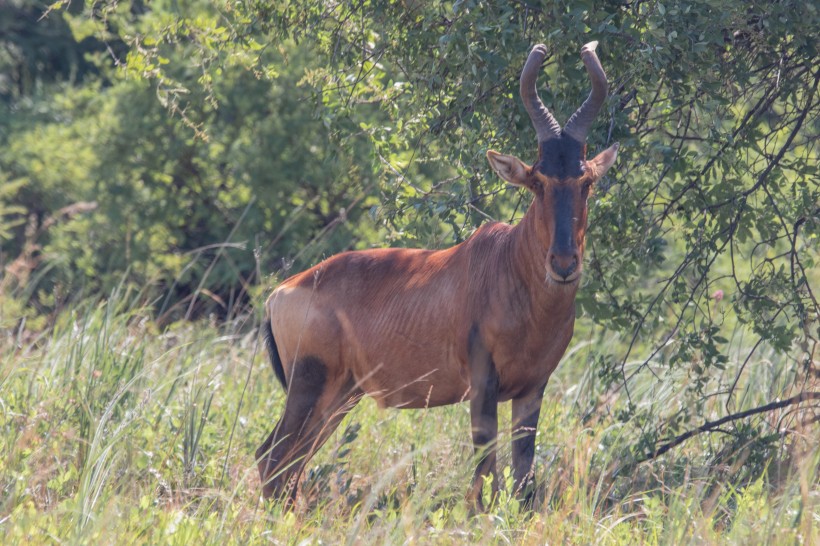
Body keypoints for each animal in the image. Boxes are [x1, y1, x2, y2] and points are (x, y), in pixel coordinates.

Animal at [256, 41, 616, 506]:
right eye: (537, 181)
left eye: (586, 180)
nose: (563, 264)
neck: (509, 265)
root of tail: (280, 293)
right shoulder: (482, 384)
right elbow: (485, 474)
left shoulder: (532, 389)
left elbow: (523, 478)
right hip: (309, 387)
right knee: (273, 458)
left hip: (340, 396)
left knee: (292, 465)